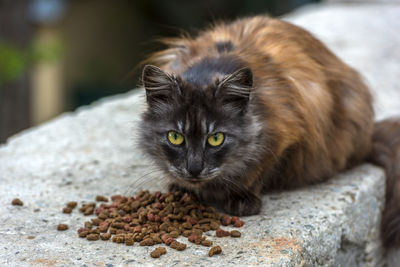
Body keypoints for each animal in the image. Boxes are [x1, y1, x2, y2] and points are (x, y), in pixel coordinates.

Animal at [139, 15, 400, 250]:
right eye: (175, 137)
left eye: (216, 138)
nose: (194, 169)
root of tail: (369, 138)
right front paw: (181, 189)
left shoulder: (284, 136)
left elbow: (257, 172)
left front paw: (242, 198)